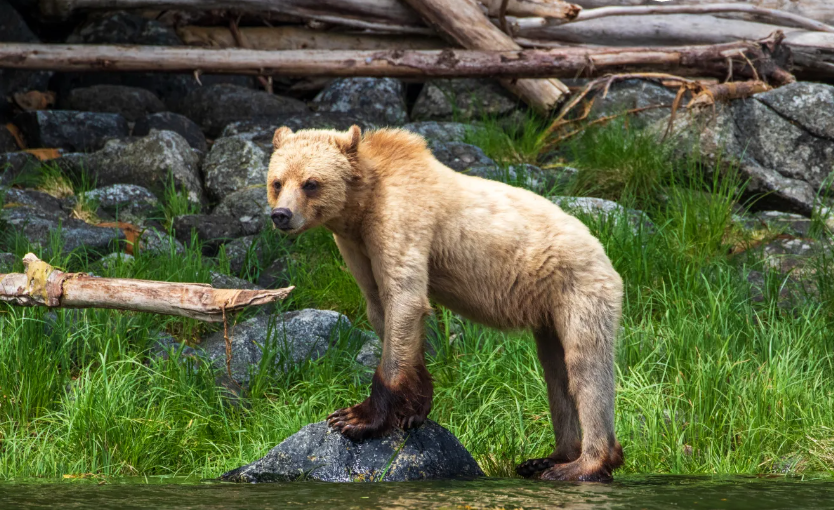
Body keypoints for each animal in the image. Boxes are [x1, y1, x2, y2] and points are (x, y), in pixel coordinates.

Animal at [266, 125, 624, 482]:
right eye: (277, 182)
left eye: (311, 183)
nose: (281, 215)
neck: (361, 205)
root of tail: (603, 251)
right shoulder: (357, 246)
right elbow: (383, 309)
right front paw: (414, 409)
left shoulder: (400, 219)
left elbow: (404, 300)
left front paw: (354, 418)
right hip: (548, 313)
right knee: (556, 374)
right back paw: (548, 459)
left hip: (578, 289)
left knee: (585, 369)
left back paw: (583, 464)